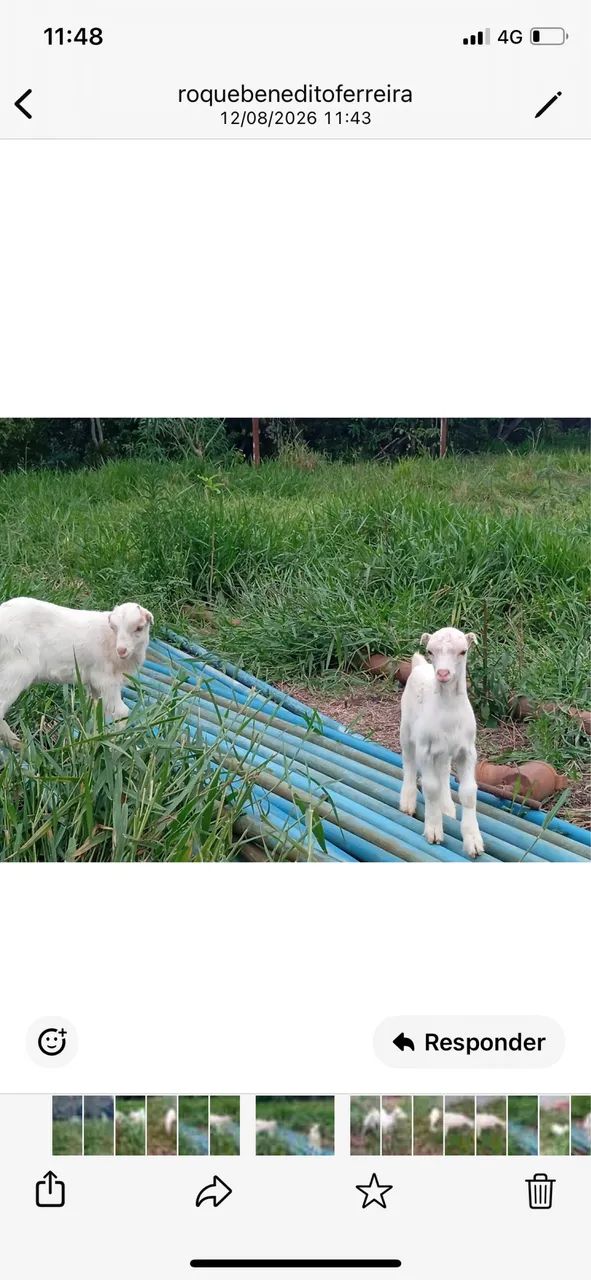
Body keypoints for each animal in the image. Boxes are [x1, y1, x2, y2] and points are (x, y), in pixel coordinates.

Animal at [0, 597, 153, 747]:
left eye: (139, 628)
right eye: (114, 627)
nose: (121, 650)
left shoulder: (95, 685)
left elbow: (97, 711)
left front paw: (94, 739)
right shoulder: (106, 680)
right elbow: (121, 711)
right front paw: (119, 741)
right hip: (16, 670)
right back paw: (17, 743)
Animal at [400, 626, 484, 857]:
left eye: (463, 651)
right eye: (430, 651)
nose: (443, 674)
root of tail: (420, 666)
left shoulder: (467, 751)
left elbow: (468, 792)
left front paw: (473, 841)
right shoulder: (425, 749)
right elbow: (430, 787)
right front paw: (434, 831)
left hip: (445, 751)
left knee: (444, 771)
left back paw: (447, 807)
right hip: (406, 729)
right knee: (409, 762)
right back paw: (408, 801)